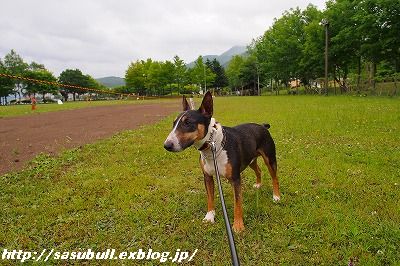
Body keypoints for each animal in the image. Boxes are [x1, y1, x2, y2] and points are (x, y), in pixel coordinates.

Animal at [164, 92, 280, 233]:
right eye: (173, 123)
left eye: (188, 123)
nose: (167, 145)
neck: (212, 146)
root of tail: (263, 126)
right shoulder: (207, 177)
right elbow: (210, 198)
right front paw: (209, 217)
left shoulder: (235, 179)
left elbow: (237, 203)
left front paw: (238, 225)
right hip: (250, 160)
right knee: (258, 170)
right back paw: (258, 184)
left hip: (270, 158)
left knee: (274, 177)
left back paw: (276, 196)